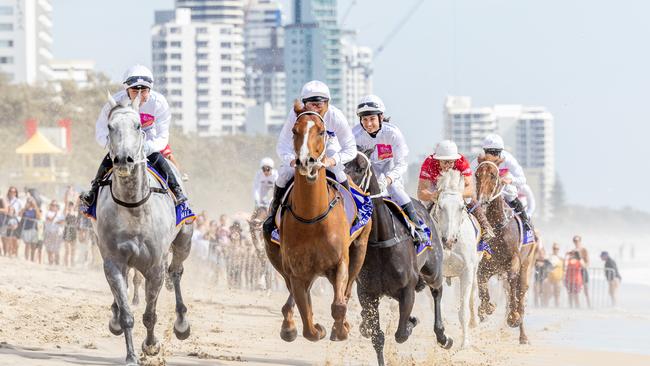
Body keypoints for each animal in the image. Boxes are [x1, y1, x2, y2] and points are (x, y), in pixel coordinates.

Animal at [93, 92, 192, 366]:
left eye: (138, 126)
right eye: (110, 126)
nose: (123, 160)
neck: (133, 208)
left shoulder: (155, 266)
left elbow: (150, 313)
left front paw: (150, 346)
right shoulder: (113, 261)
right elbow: (127, 311)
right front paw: (130, 354)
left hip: (184, 240)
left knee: (176, 272)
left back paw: (181, 323)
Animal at [260, 102, 370, 344]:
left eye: (321, 131)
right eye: (294, 131)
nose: (305, 162)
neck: (312, 219)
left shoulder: (340, 262)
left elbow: (339, 305)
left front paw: (341, 329)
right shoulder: (297, 271)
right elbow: (307, 322)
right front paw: (312, 328)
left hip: (360, 248)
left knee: (347, 291)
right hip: (277, 257)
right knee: (293, 295)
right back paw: (288, 324)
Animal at [344, 150, 450, 364]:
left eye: (360, 168)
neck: (380, 242)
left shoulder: (407, 290)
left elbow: (401, 334)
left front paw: (411, 323)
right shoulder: (366, 292)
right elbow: (376, 336)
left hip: (433, 270)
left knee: (437, 291)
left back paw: (442, 336)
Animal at [430, 170, 480, 348]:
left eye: (461, 207)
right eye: (440, 206)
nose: (449, 240)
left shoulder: (467, 271)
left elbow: (463, 310)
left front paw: (465, 344)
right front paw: (443, 338)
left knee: (473, 294)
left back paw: (474, 322)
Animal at [474, 157, 536, 344]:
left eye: (493, 175)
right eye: (477, 174)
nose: (482, 200)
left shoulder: (513, 263)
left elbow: (514, 289)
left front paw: (513, 317)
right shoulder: (486, 266)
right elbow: (482, 288)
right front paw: (486, 308)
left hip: (526, 264)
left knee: (520, 294)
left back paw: (522, 334)